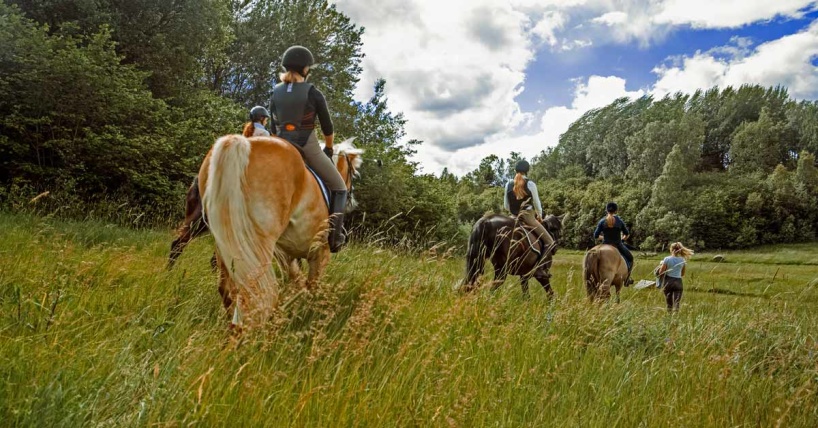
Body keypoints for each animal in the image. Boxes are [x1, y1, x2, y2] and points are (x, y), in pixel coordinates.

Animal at [196, 135, 362, 326]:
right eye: (353, 173)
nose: (352, 202)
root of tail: (243, 142)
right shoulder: (321, 253)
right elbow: (311, 288)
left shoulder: (286, 256)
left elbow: (298, 282)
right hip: (259, 247)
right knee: (255, 298)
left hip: (226, 245)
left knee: (227, 291)